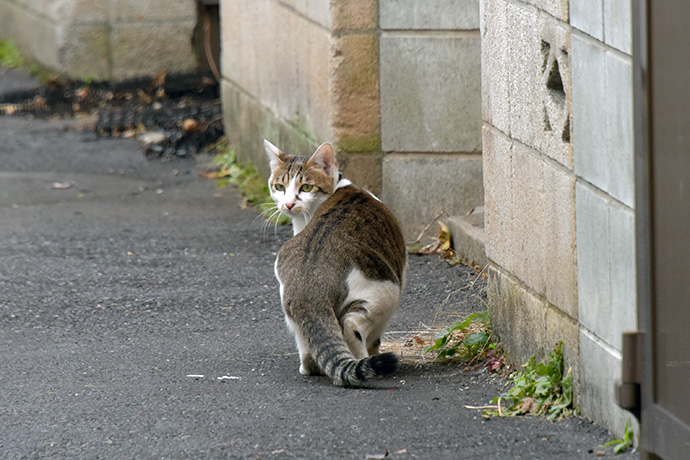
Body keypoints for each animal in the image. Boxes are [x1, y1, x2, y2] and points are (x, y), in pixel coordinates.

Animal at [262, 138, 404, 386]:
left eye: (306, 188)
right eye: (280, 187)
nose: (288, 204)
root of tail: (310, 289)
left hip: (287, 299)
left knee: (310, 350)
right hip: (384, 292)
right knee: (354, 326)